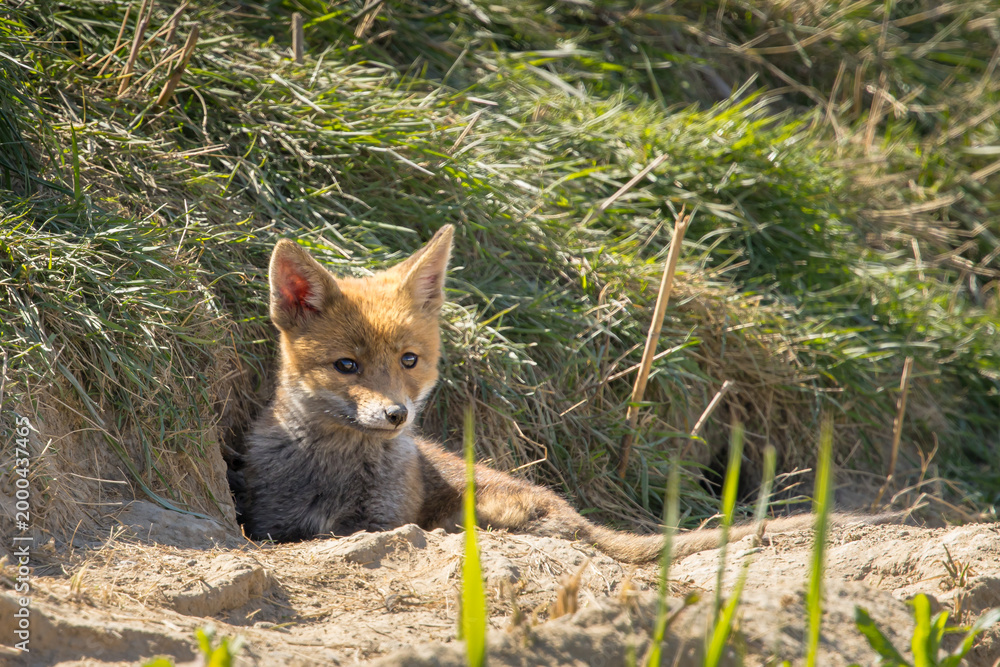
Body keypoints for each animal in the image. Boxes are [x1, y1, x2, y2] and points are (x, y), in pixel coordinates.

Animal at [239, 225, 901, 562]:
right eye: (347, 365)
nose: (396, 415)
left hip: (478, 513)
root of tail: (581, 515)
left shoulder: (388, 520)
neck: (334, 473)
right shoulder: (272, 520)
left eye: (409, 361)